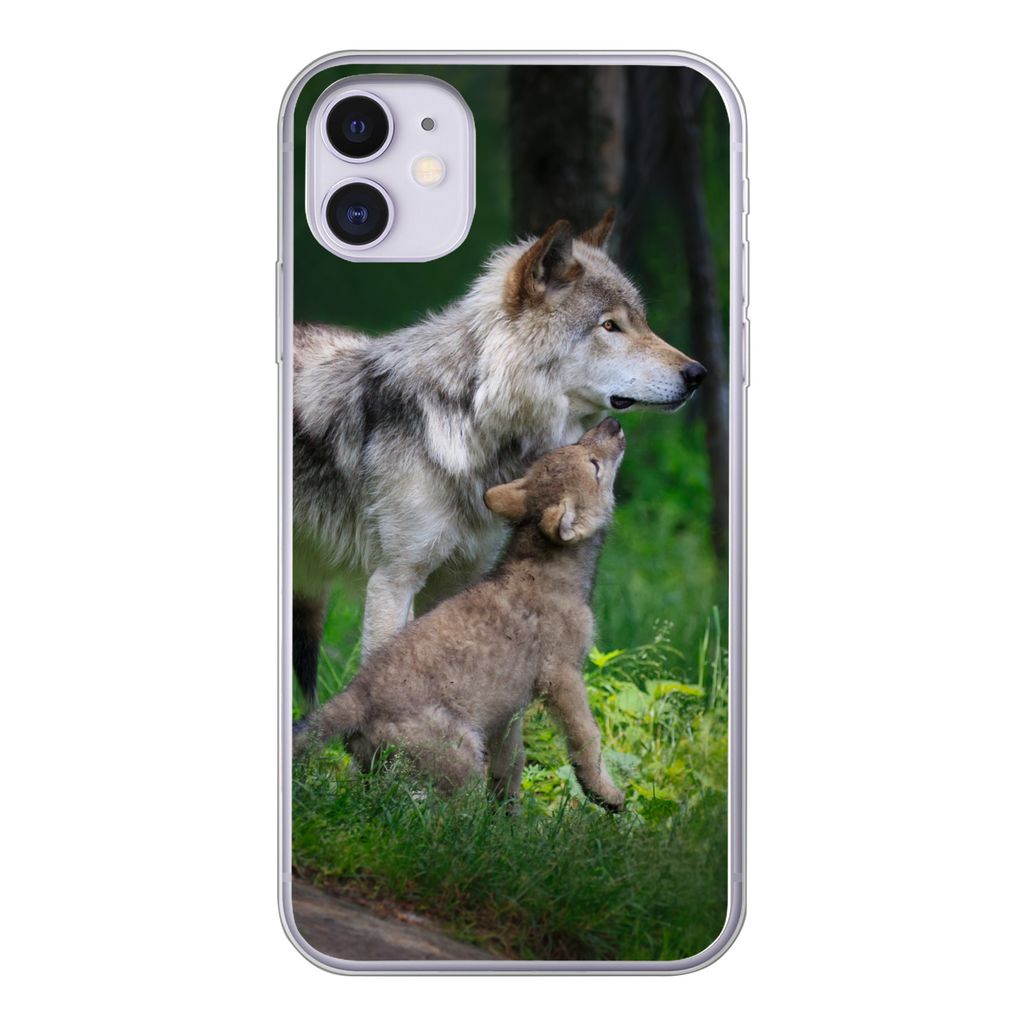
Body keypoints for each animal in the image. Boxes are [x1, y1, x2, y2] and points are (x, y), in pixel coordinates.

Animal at [292, 210, 707, 707]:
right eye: (609, 326)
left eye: (642, 322)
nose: (698, 374)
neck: (473, 419)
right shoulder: (393, 581)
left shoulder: (456, 581)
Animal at [295, 418, 629, 811]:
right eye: (593, 465)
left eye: (575, 446)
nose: (613, 423)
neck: (548, 568)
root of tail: (357, 694)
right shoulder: (561, 676)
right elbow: (587, 737)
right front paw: (605, 794)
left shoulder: (509, 710)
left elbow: (511, 763)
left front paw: (509, 817)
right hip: (463, 759)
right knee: (444, 815)